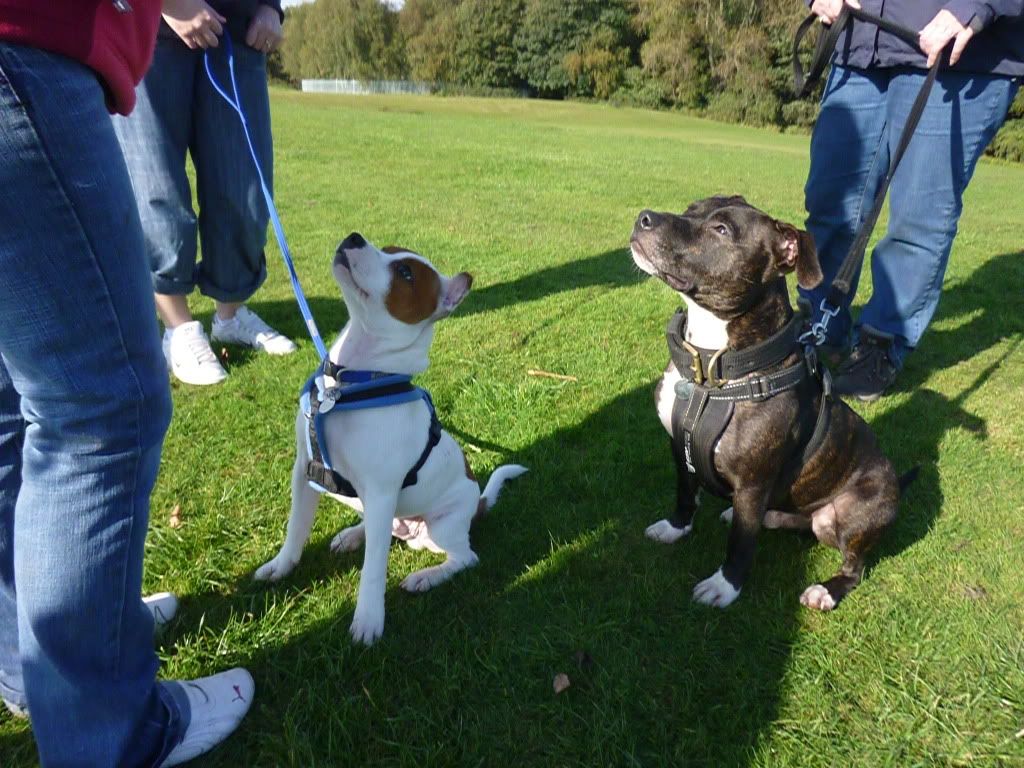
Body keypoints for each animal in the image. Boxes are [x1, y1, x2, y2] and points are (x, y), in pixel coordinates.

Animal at [256, 233, 528, 643]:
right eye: (386, 249)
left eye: (405, 273)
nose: (354, 237)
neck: (349, 383)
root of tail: (477, 503)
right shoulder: (306, 472)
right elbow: (296, 529)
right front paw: (281, 566)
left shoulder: (382, 492)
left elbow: (373, 570)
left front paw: (369, 620)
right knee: (379, 529)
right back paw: (353, 535)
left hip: (441, 525)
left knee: (464, 558)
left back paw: (425, 577)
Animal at [630, 196, 913, 614]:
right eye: (691, 208)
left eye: (722, 230)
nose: (643, 218)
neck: (712, 365)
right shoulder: (678, 448)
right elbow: (684, 492)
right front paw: (675, 528)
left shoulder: (753, 481)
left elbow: (741, 543)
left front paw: (725, 586)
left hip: (851, 514)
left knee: (854, 566)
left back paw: (825, 590)